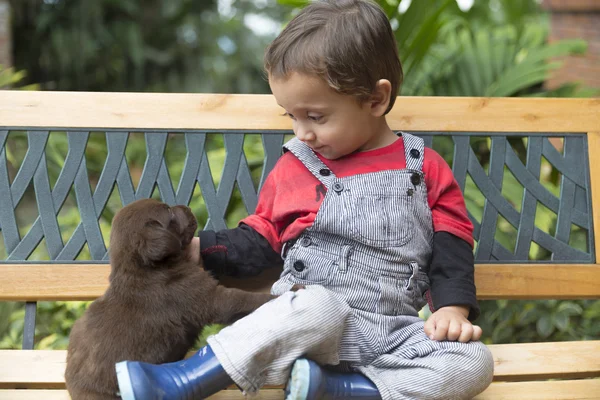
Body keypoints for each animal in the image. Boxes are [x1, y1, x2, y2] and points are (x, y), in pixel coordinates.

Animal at [65, 198, 272, 398]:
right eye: (169, 211)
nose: (188, 207)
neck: (147, 268)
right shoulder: (207, 297)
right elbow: (242, 299)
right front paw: (275, 297)